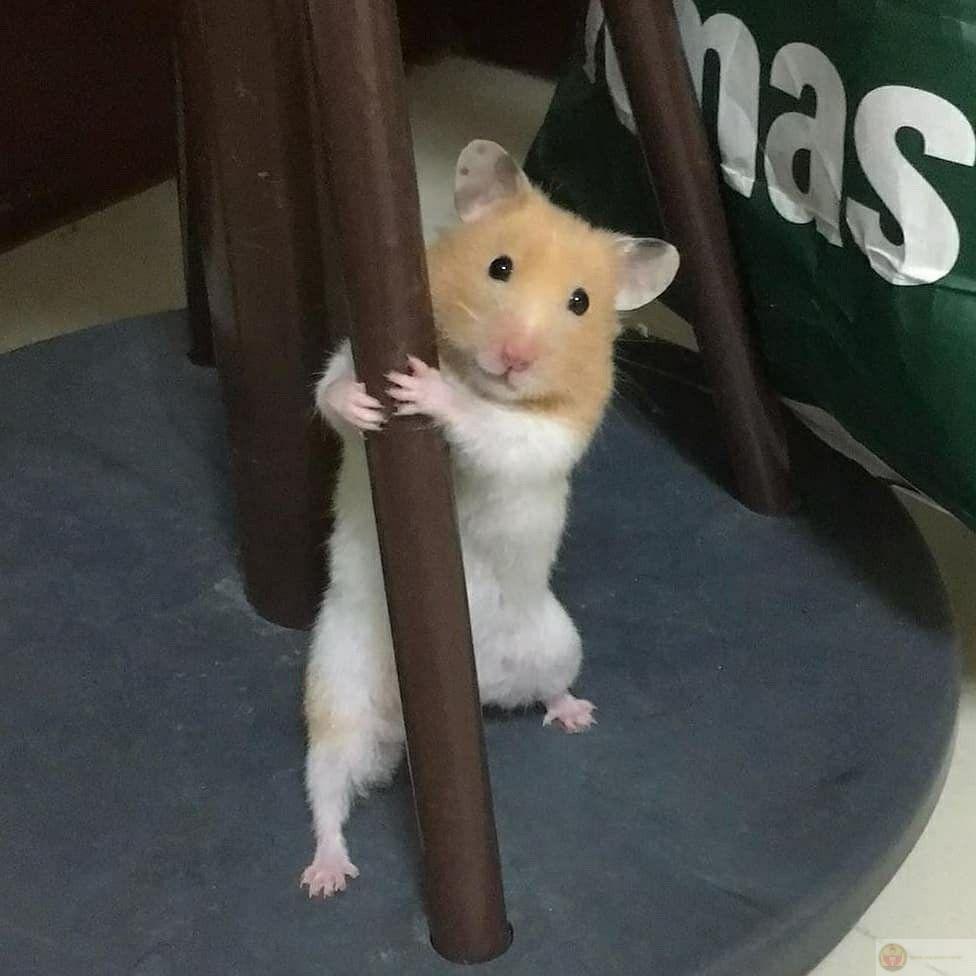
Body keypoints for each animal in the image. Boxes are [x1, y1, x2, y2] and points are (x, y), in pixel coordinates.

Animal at [300, 140, 679, 898]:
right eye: (498, 266)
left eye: (580, 302)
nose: (513, 358)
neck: (484, 378)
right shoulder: (351, 355)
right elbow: (333, 393)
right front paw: (368, 402)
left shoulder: (544, 438)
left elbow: (494, 429)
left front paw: (432, 390)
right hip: (337, 687)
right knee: (328, 792)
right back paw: (325, 875)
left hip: (557, 641)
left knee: (551, 687)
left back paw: (576, 717)